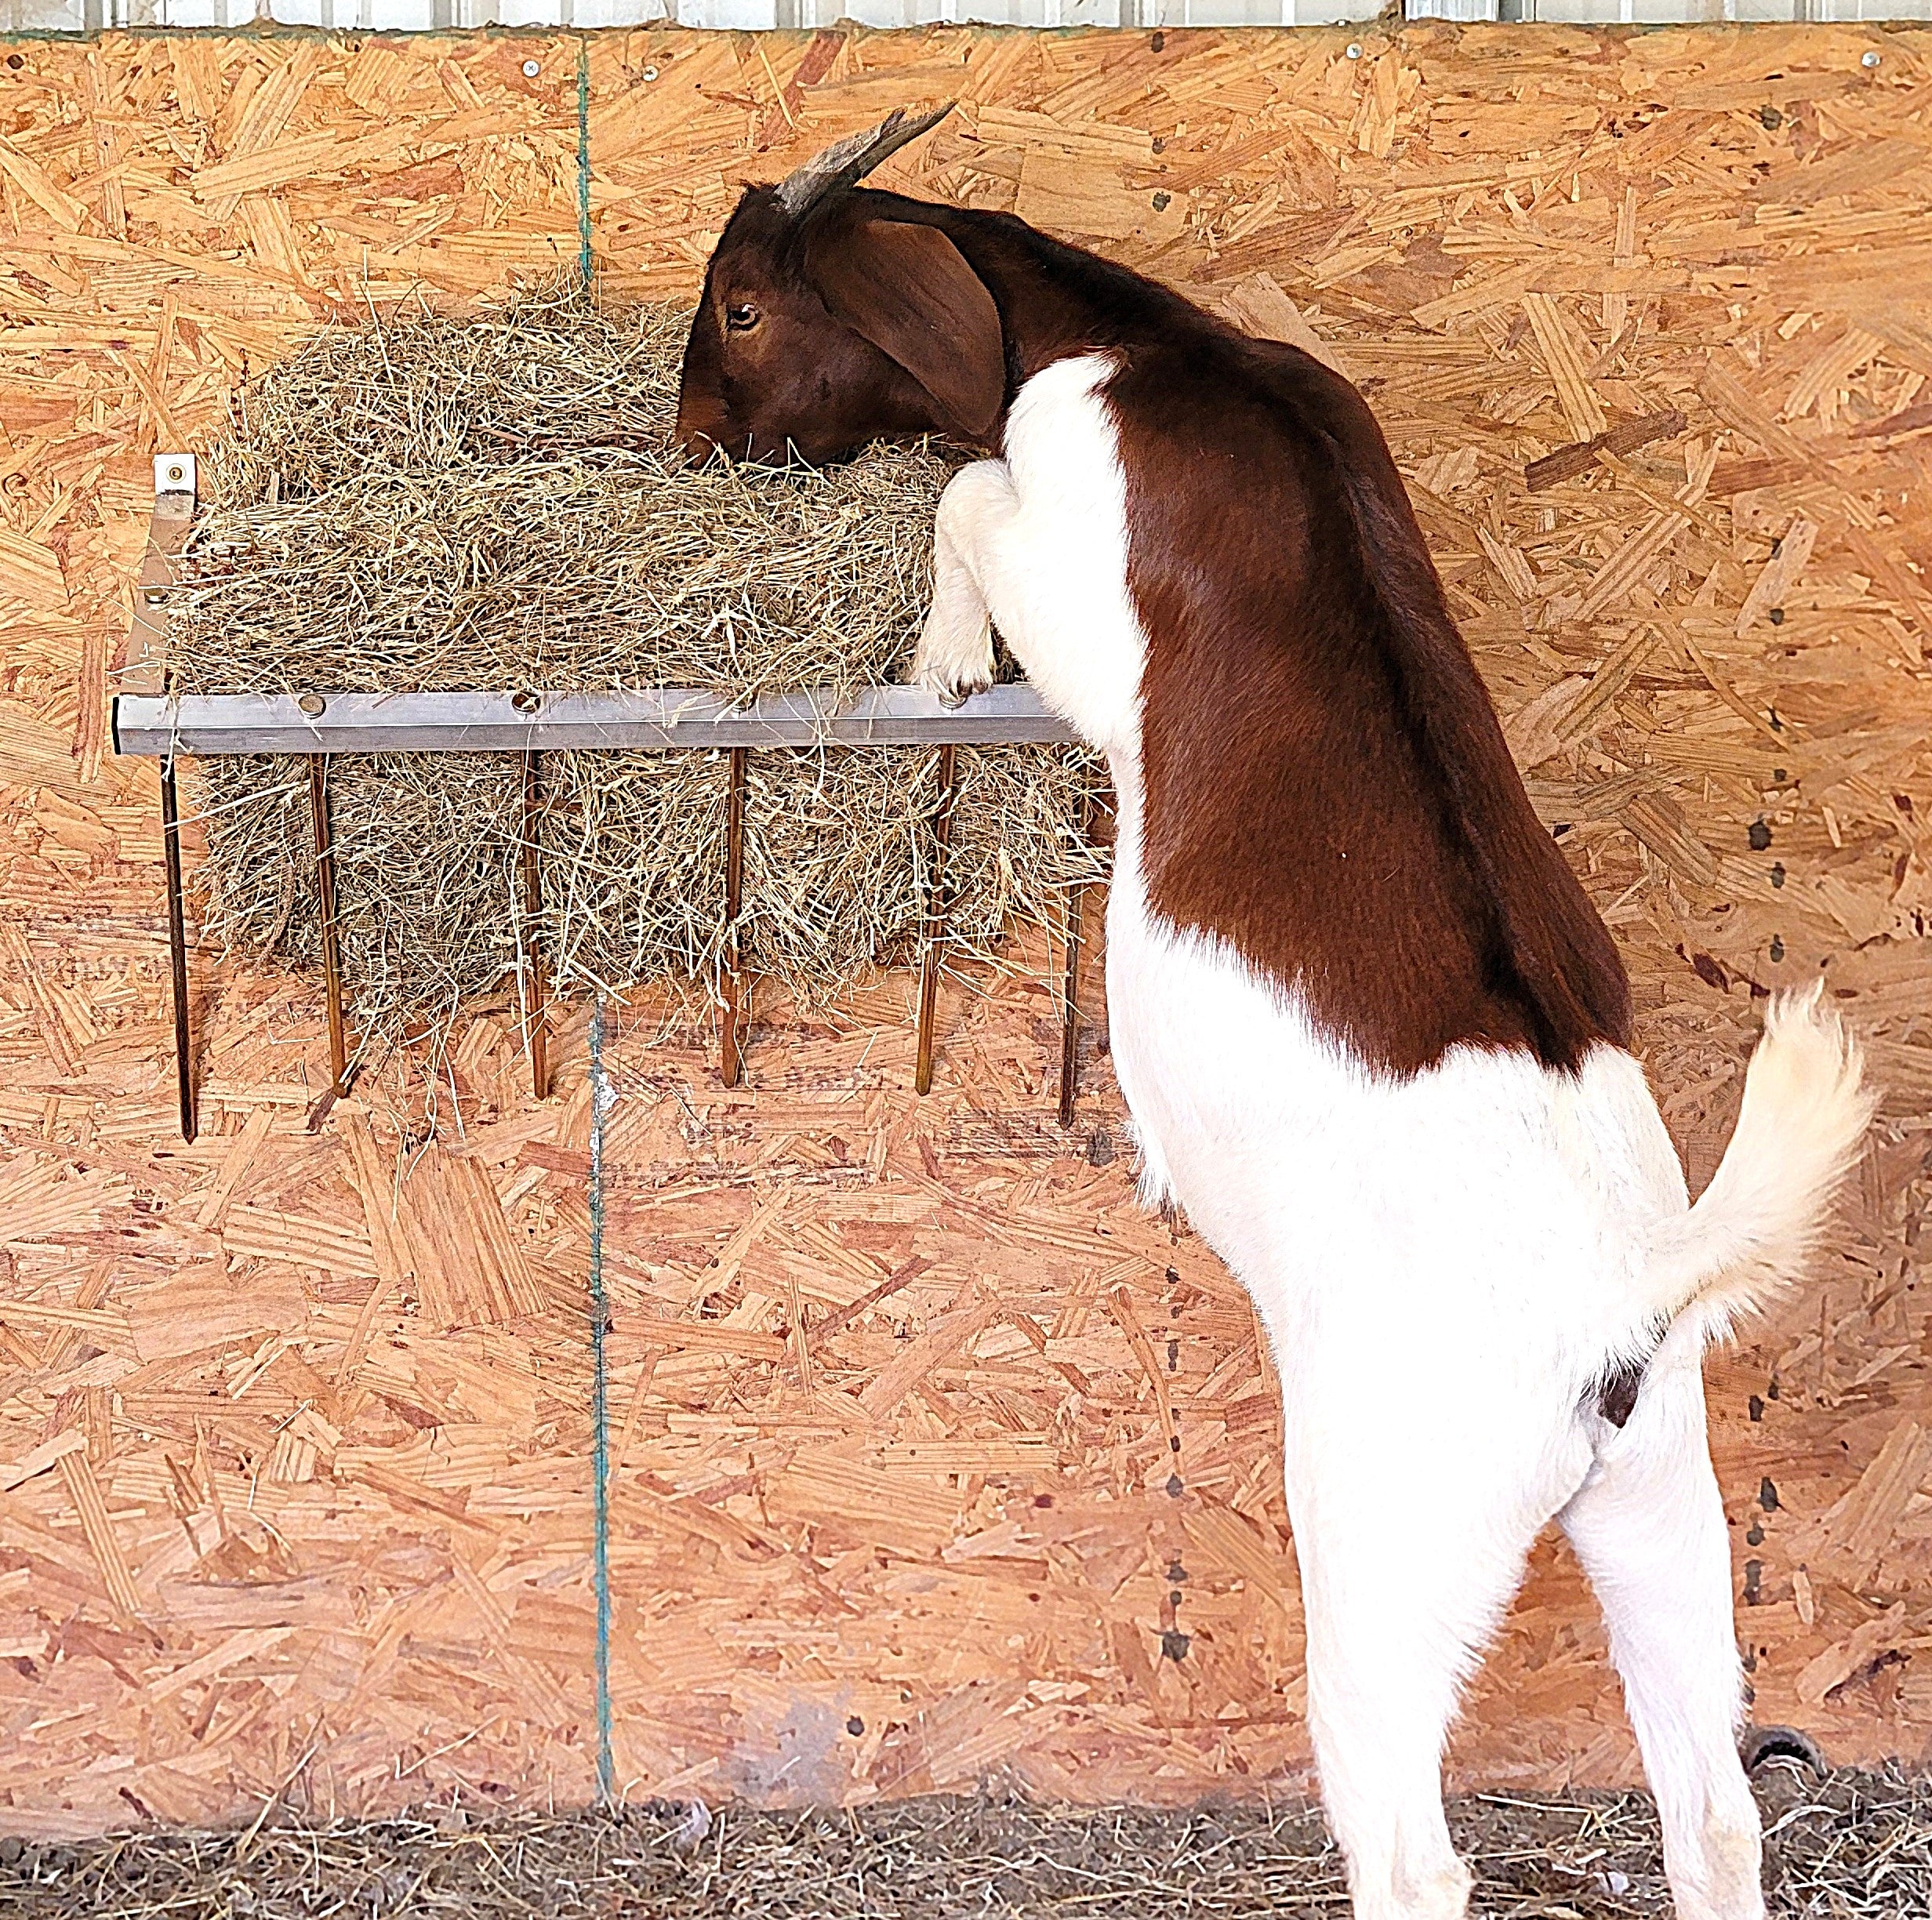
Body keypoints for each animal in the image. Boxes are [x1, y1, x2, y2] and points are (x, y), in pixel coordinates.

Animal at [677, 107, 1873, 1920]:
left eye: (742, 308)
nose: (684, 444)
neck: (1164, 350)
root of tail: (1625, 1293)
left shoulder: (1065, 551)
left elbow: (960, 495)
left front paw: (942, 660)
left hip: (1382, 1551)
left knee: (1408, 1846)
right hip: (1664, 1508)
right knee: (1711, 1814)